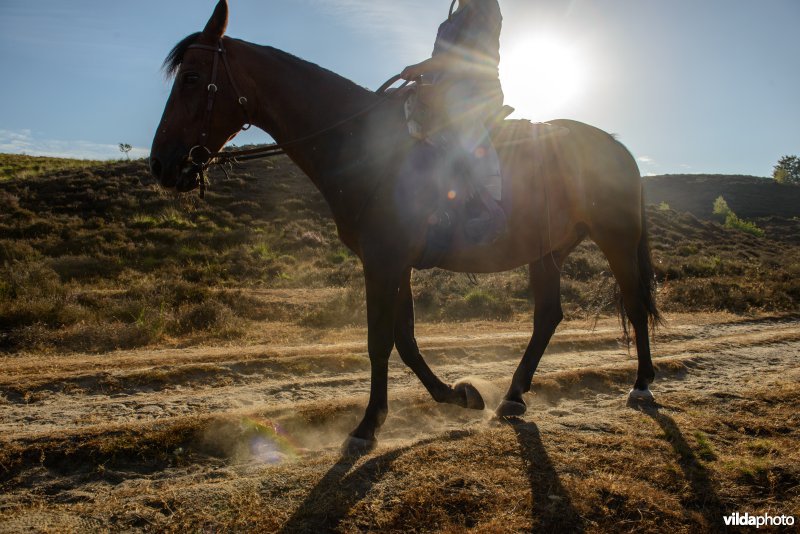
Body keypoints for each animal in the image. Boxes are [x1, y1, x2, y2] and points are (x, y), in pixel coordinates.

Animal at [152, 0, 664, 456]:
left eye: (193, 78)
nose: (162, 164)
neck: (361, 144)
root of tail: (617, 147)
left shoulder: (384, 260)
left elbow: (380, 339)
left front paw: (366, 427)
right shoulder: (393, 262)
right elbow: (405, 338)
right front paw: (459, 396)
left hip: (616, 239)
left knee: (635, 303)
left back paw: (641, 386)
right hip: (547, 251)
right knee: (548, 316)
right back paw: (513, 397)